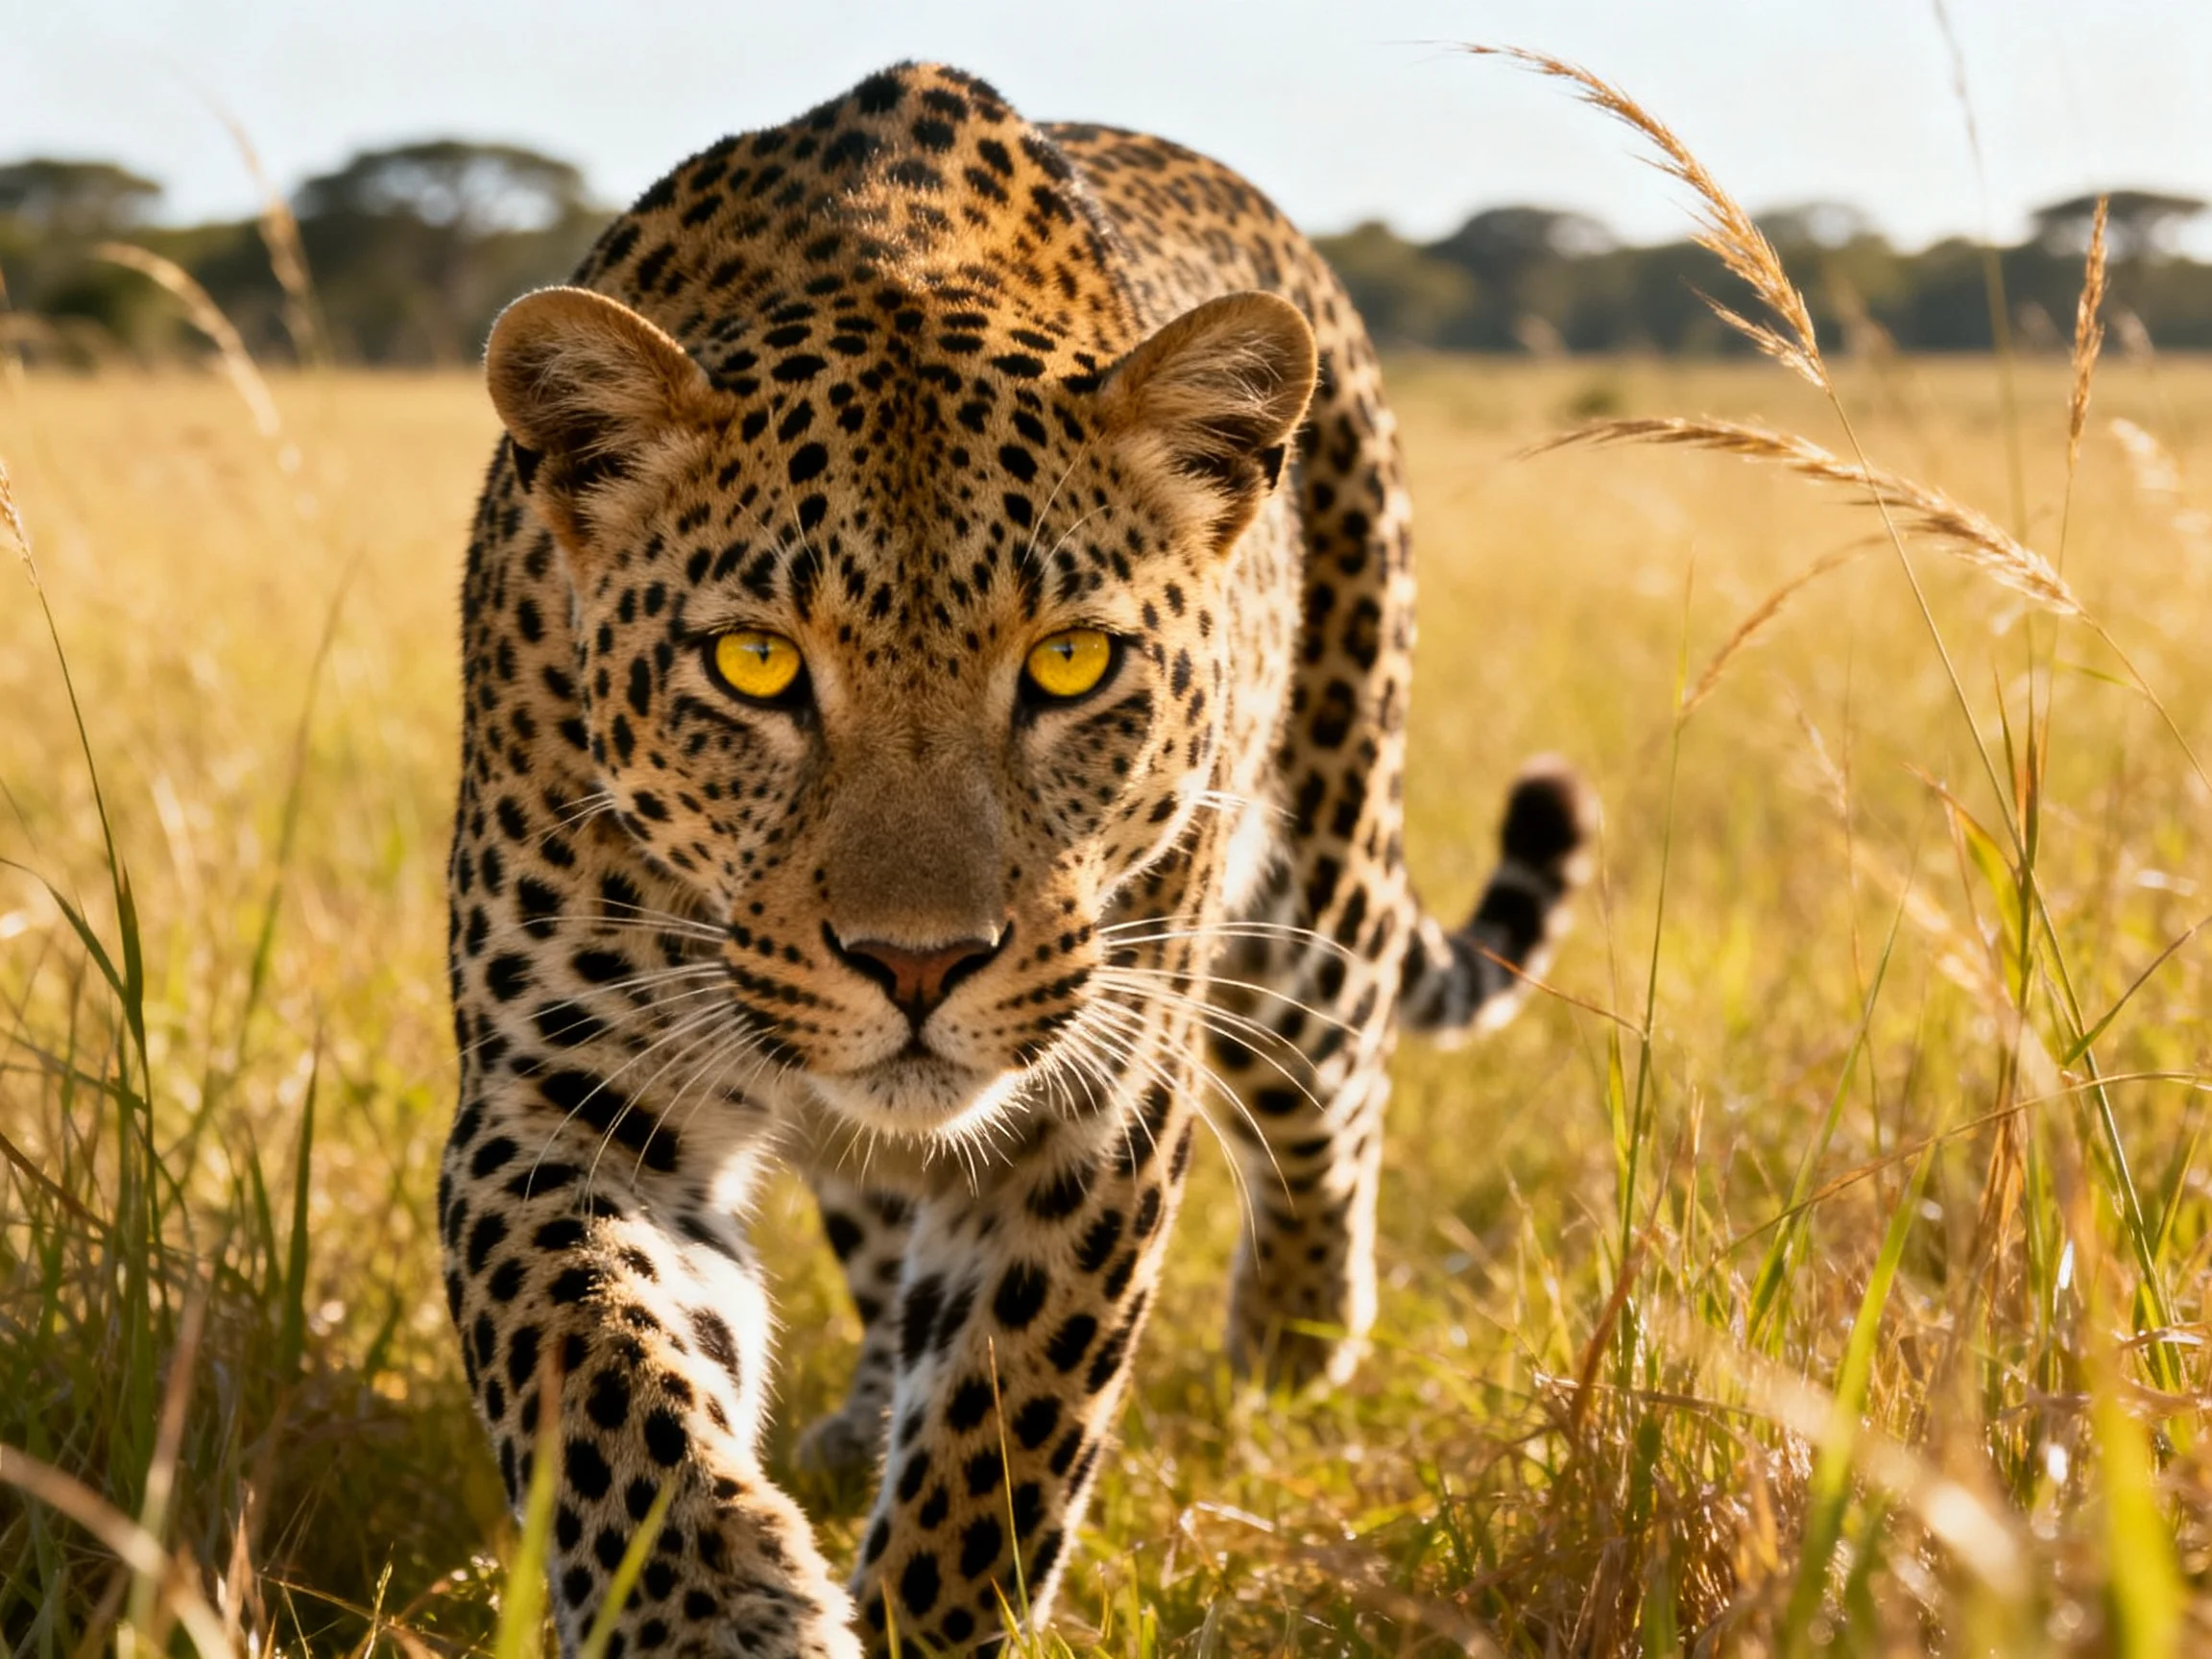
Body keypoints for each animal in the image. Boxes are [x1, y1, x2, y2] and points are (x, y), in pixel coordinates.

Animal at [439, 60, 1592, 1657]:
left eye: (1069, 664)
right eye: (754, 664)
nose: (917, 964)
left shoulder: (1091, 1102)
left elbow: (997, 1442)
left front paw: (919, 1607)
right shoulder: (561, 1092)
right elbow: (595, 1369)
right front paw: (712, 1611)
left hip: (1319, 861)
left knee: (1334, 1081)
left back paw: (1296, 1336)